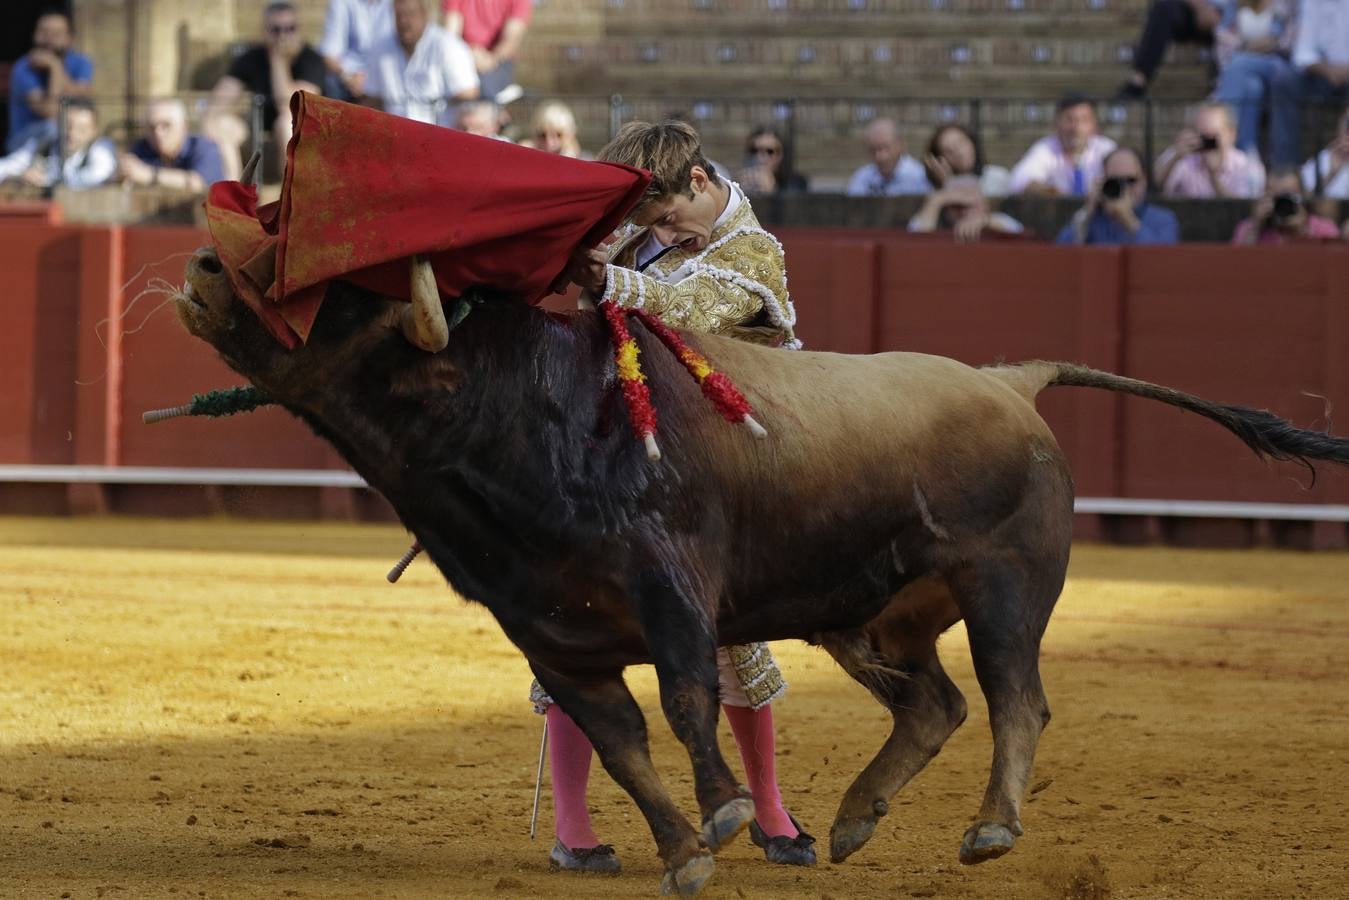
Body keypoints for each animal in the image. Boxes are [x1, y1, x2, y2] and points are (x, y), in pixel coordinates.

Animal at [176, 244, 1349, 895]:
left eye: (335, 293)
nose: (201, 264)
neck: (503, 410)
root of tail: (1006, 379)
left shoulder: (671, 594)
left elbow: (688, 704)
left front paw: (727, 817)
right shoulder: (548, 633)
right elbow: (615, 743)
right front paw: (681, 848)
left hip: (1003, 588)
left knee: (1016, 698)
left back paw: (988, 829)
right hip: (870, 613)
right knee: (932, 704)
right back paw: (851, 820)